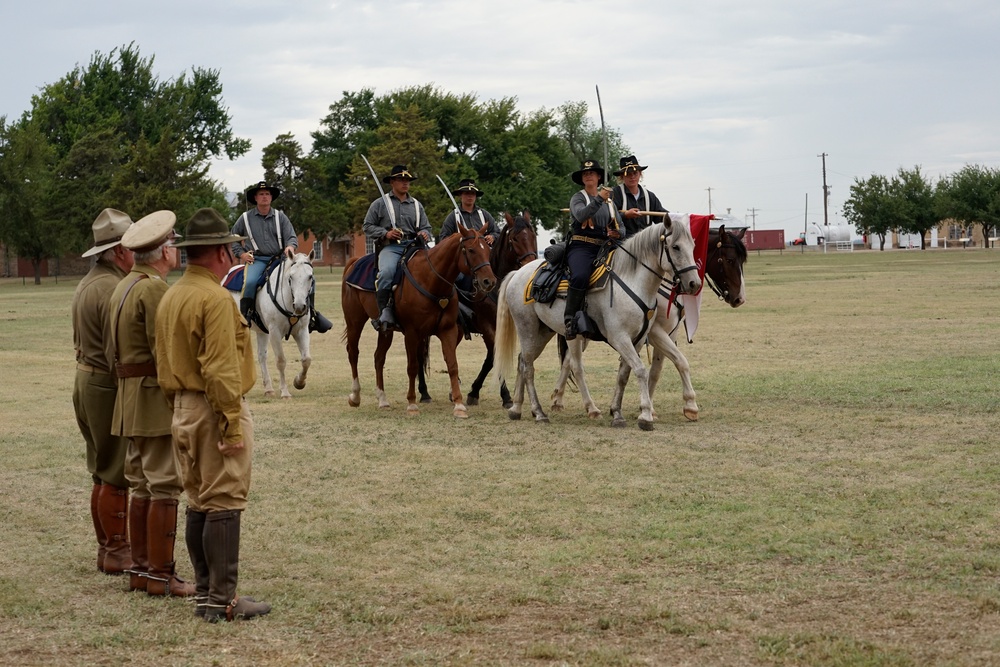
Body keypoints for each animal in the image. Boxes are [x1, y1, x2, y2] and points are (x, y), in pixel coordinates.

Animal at [226, 249, 312, 396]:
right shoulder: (274, 332)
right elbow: (281, 360)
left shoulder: (301, 330)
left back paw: (269, 389)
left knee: (262, 356)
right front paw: (285, 392)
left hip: (262, 332)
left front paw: (299, 382)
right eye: (291, 277)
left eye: (310, 277)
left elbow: (306, 359)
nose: (300, 306)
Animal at [344, 219, 496, 418]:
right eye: (471, 250)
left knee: (378, 358)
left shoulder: (448, 330)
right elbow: (412, 366)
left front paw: (459, 405)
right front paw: (412, 404)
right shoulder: (412, 333)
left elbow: (452, 365)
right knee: (353, 352)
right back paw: (355, 396)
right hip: (354, 321)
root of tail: (354, 262)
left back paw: (383, 399)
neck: (431, 280)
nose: (489, 281)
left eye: (488, 250)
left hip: (386, 330)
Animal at [494, 219, 700, 428]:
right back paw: (542, 411)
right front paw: (646, 414)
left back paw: (517, 408)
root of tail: (518, 273)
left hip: (545, 332)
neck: (632, 283)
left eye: (693, 246)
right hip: (528, 328)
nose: (694, 284)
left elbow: (631, 373)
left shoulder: (642, 338)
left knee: (524, 361)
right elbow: (641, 370)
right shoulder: (623, 337)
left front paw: (618, 412)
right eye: (675, 247)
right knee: (535, 367)